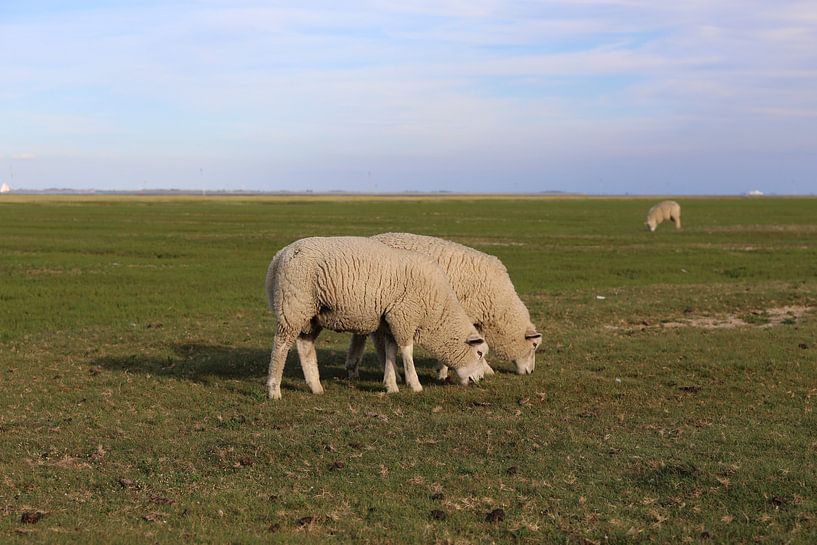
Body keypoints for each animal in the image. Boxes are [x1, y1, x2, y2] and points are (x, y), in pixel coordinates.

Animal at [264, 236, 488, 398]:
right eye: (479, 353)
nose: (481, 379)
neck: (437, 310)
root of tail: (279, 256)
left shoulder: (390, 322)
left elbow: (390, 351)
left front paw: (391, 385)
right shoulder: (403, 316)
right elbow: (407, 351)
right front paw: (414, 384)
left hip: (311, 315)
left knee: (305, 346)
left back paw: (315, 387)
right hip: (293, 307)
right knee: (280, 347)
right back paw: (274, 390)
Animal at [344, 232, 540, 380]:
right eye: (534, 345)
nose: (530, 372)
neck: (499, 303)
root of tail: (374, 237)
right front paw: (446, 371)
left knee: (361, 335)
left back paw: (353, 367)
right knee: (377, 339)